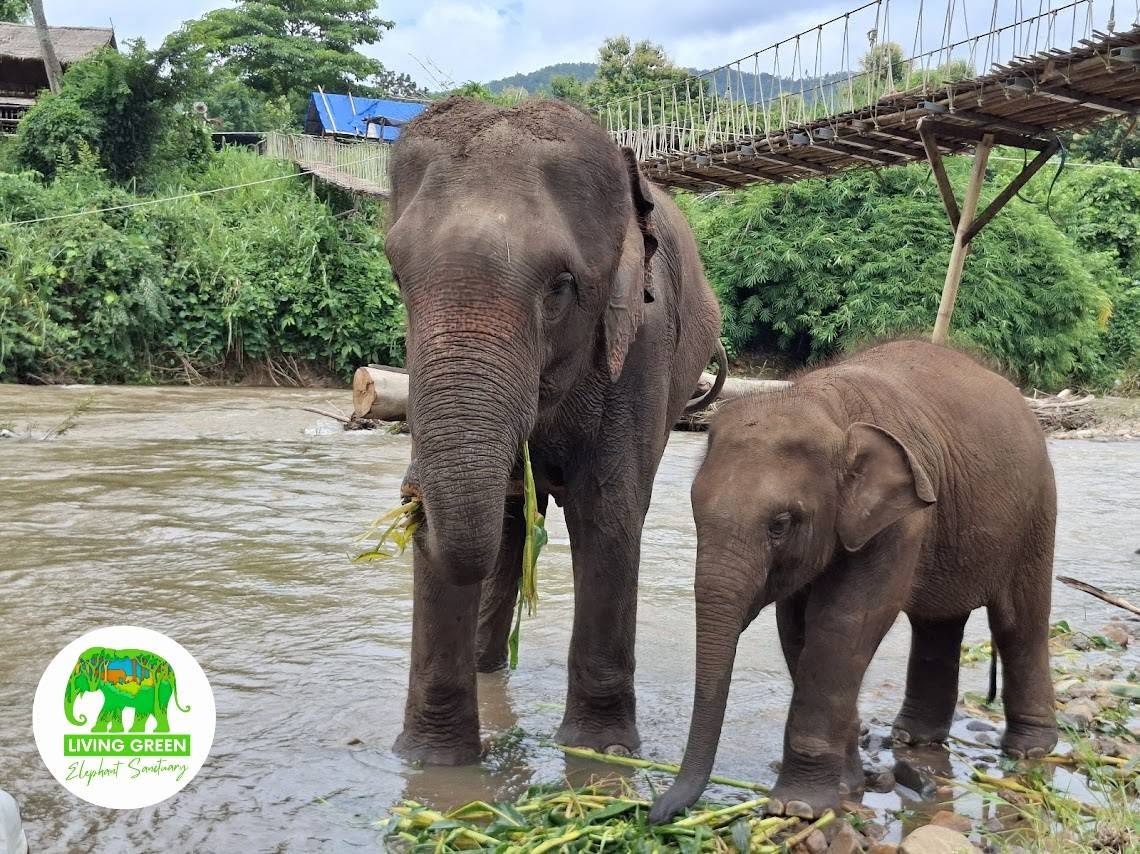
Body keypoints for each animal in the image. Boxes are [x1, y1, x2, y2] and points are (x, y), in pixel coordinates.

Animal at [384, 97, 724, 765]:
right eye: (397, 276)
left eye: (561, 286)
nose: (410, 494)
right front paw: (431, 764)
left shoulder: (641, 344)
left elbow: (609, 511)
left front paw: (600, 752)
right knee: (511, 521)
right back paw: (488, 669)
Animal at [650, 340, 1058, 823]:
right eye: (695, 512)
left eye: (780, 524)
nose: (656, 811)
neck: (827, 407)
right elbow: (798, 629)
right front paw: (846, 787)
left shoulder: (902, 520)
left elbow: (842, 623)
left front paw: (800, 806)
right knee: (937, 625)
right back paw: (914, 740)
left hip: (1037, 510)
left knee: (1019, 622)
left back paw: (1030, 751)